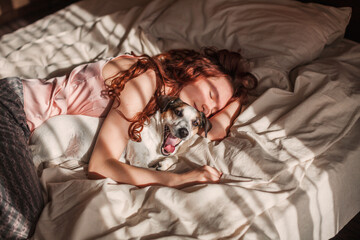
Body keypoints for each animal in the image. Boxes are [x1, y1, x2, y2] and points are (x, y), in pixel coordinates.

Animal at [30, 95, 211, 172]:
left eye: (195, 123)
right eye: (178, 112)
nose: (183, 132)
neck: (156, 138)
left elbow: (174, 157)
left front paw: (164, 164)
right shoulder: (138, 163)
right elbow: (151, 171)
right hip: (55, 144)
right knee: (35, 159)